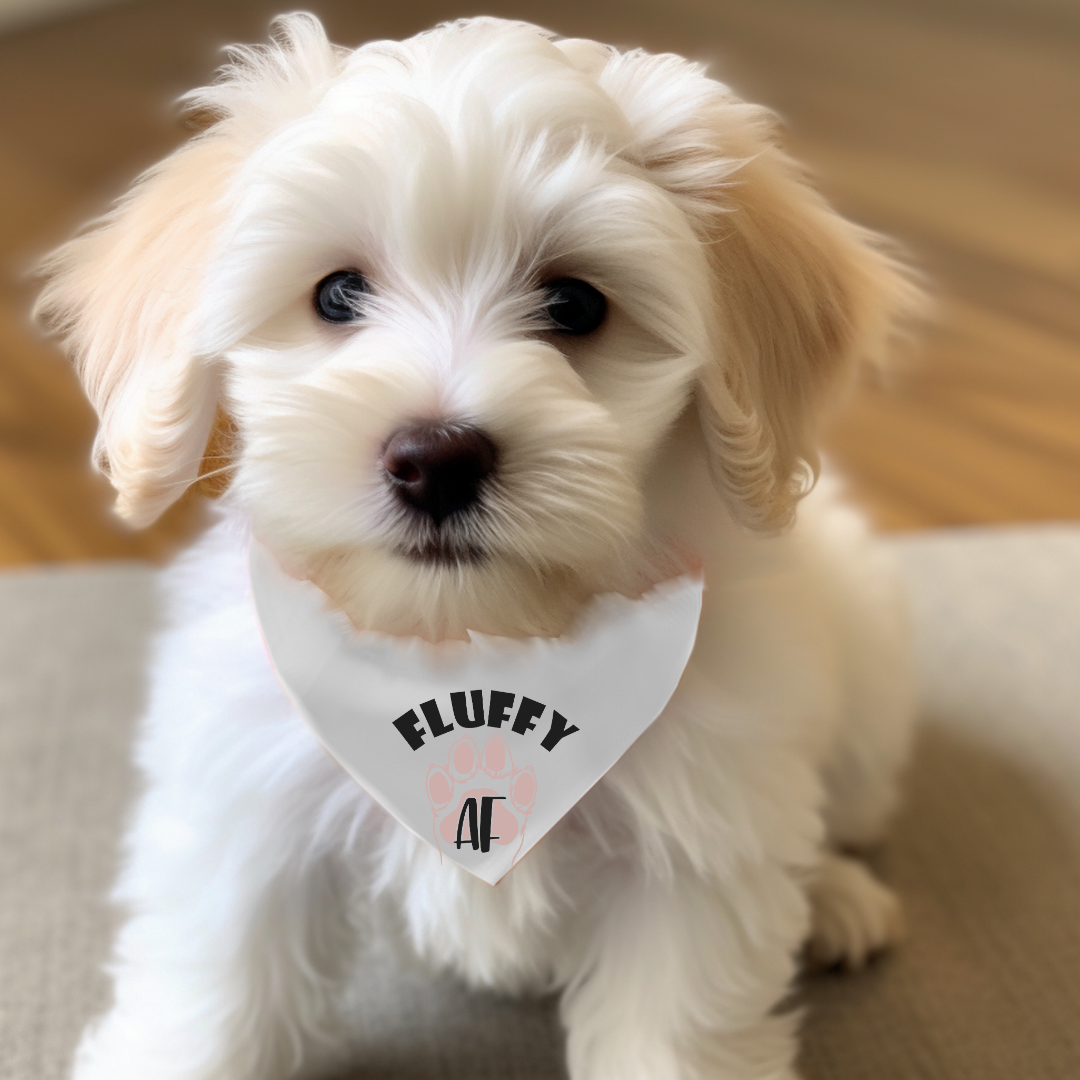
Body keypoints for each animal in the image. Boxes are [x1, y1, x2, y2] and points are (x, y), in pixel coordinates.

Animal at [39, 16, 920, 1080]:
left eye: (575, 305)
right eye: (338, 294)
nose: (436, 460)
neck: (471, 644)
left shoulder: (691, 859)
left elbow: (674, 1024)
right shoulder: (245, 802)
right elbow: (215, 998)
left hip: (867, 681)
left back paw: (835, 894)